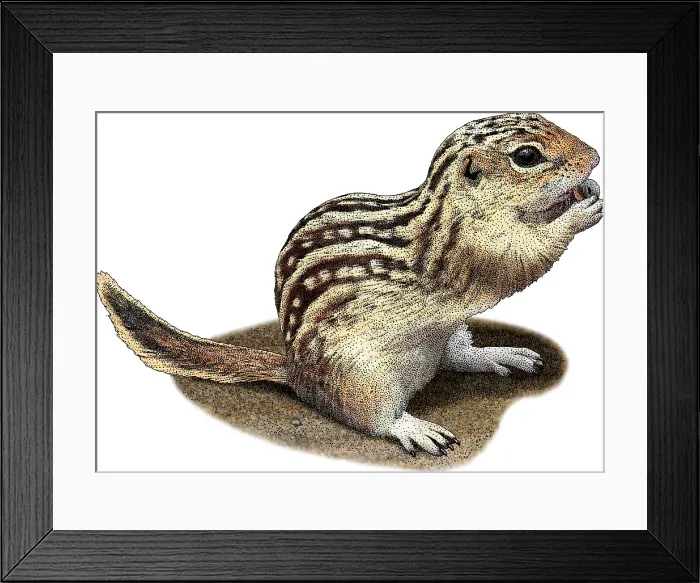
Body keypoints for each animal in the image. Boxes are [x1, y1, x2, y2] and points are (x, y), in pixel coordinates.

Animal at [97, 112, 602, 457]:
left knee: (456, 355)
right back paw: (413, 427)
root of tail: (297, 373)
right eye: (526, 156)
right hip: (362, 377)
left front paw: (589, 192)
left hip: (448, 332)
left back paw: (498, 354)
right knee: (371, 418)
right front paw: (583, 209)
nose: (595, 156)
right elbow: (520, 259)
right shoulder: (472, 250)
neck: (447, 209)